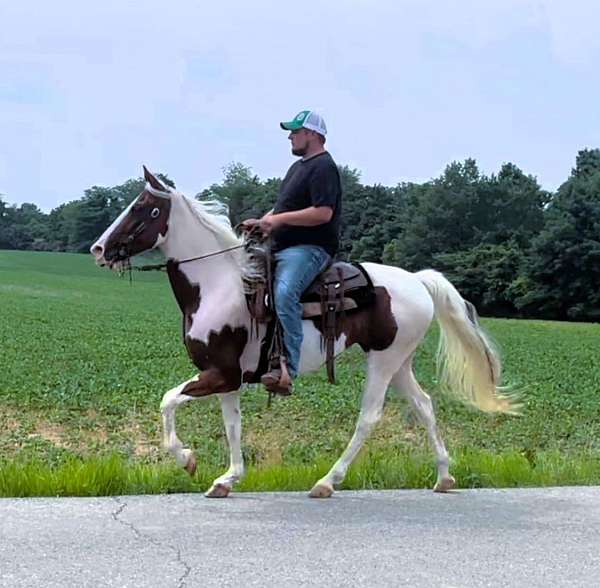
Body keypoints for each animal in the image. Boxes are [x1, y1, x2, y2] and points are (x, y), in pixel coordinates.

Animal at [89, 168, 516, 498]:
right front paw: (227, 479)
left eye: (144, 208)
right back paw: (444, 476)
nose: (98, 249)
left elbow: (168, 401)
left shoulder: (218, 374)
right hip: (399, 362)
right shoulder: (229, 378)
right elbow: (232, 426)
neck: (217, 285)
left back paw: (328, 481)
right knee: (425, 405)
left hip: (383, 360)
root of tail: (417, 280)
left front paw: (187, 459)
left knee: (369, 416)